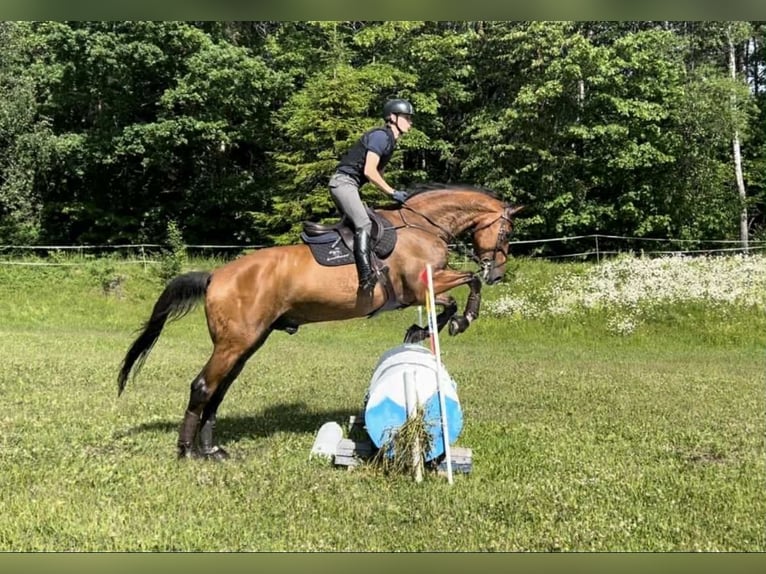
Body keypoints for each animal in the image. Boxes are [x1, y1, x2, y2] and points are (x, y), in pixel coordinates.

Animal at [117, 185, 523, 460]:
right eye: (505, 233)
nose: (498, 273)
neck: (423, 228)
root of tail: (216, 275)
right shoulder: (420, 285)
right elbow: (465, 285)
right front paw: (457, 321)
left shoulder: (422, 290)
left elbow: (456, 294)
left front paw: (423, 329)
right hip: (234, 343)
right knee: (203, 386)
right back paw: (188, 451)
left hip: (247, 343)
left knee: (218, 390)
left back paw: (212, 449)